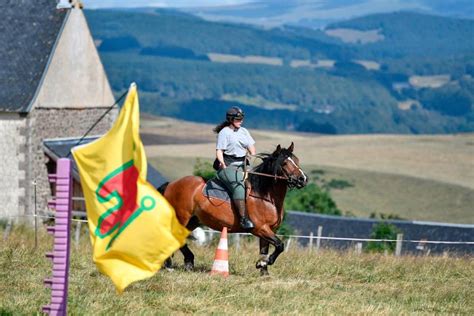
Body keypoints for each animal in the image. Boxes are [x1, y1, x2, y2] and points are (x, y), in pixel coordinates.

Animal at [160, 142, 308, 276]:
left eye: (296, 161)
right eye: (284, 163)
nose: (303, 179)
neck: (264, 196)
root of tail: (171, 184)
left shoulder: (270, 230)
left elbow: (265, 250)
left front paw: (264, 271)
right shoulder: (260, 229)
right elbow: (279, 245)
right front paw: (263, 263)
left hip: (193, 221)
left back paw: (179, 263)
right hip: (182, 218)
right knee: (173, 237)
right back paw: (177, 263)